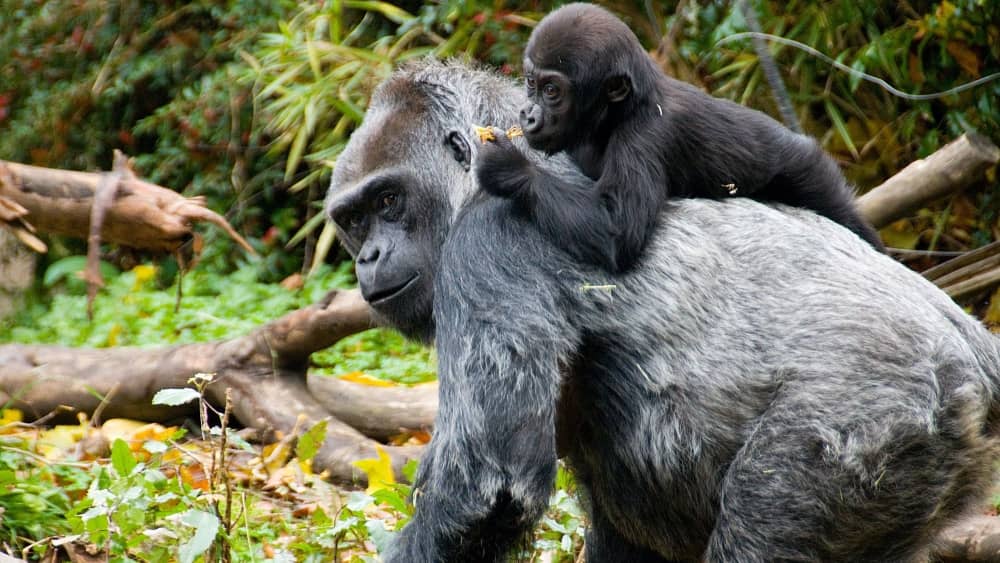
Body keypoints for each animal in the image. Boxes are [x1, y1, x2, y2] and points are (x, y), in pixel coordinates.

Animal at [326, 59, 1000, 560]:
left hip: (878, 417)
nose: (369, 257)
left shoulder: (487, 243)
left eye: (388, 200)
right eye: (353, 221)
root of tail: (975, 347)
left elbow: (485, 486)